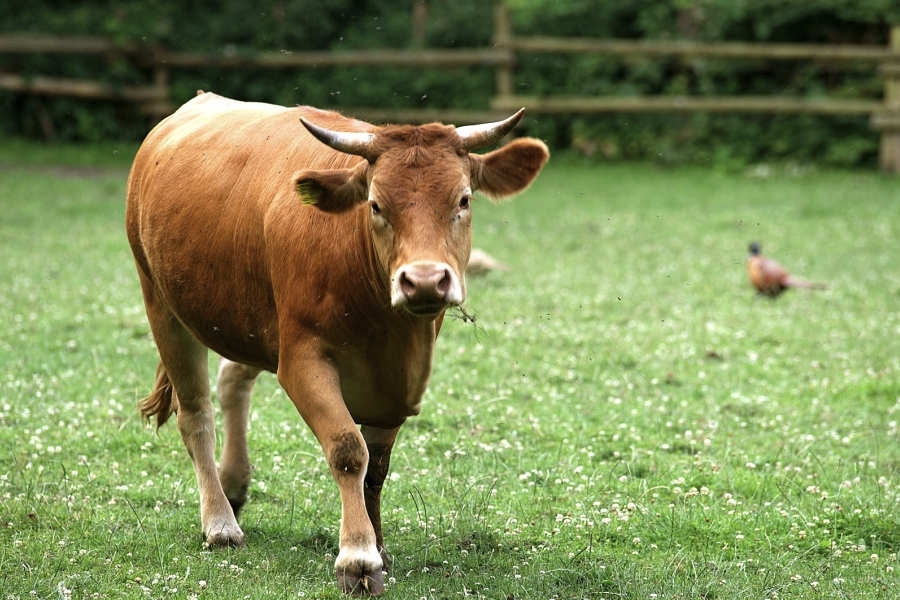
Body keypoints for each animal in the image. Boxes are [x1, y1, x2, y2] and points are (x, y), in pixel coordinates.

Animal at [125, 94, 548, 596]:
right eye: (376, 205)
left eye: (463, 200)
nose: (425, 281)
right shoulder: (302, 361)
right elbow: (349, 450)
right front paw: (358, 557)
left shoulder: (399, 383)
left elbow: (377, 466)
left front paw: (379, 545)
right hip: (161, 302)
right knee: (195, 415)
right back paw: (220, 523)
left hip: (250, 322)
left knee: (233, 381)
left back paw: (233, 484)